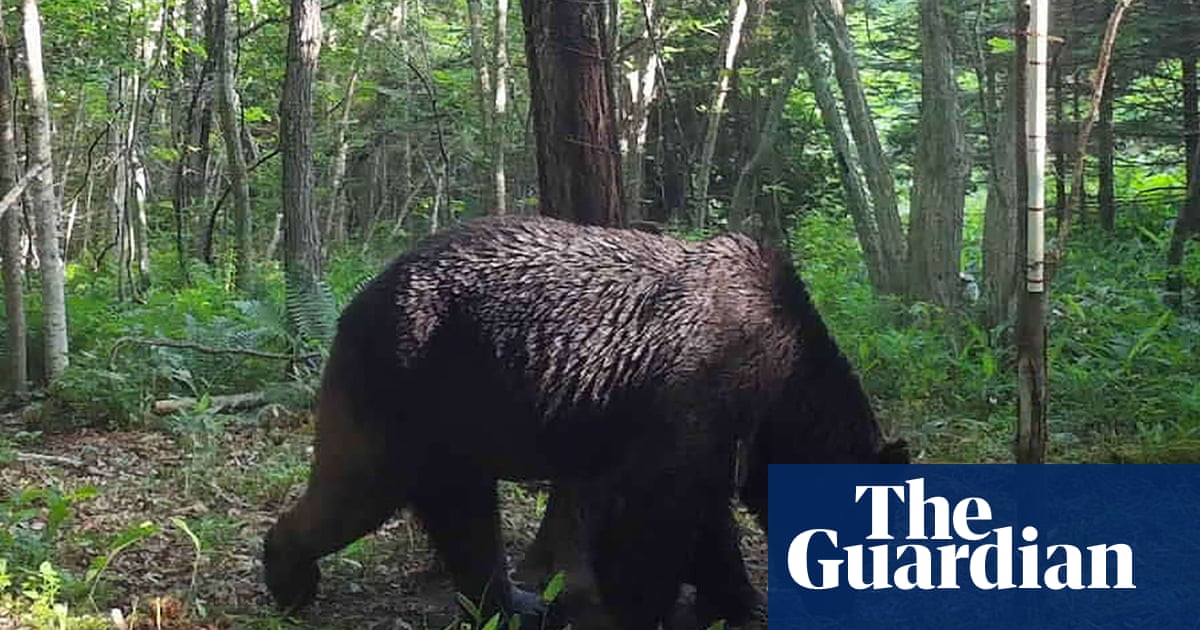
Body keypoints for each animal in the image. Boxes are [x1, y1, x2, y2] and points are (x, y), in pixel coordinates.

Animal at [263, 216, 907, 629]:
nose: (858, 594)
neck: (782, 383)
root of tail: (358, 297)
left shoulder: (716, 431)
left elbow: (704, 514)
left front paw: (734, 599)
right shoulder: (697, 392)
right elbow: (652, 515)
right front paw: (644, 606)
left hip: (455, 419)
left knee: (463, 515)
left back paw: (513, 603)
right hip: (408, 382)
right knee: (359, 487)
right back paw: (288, 577)